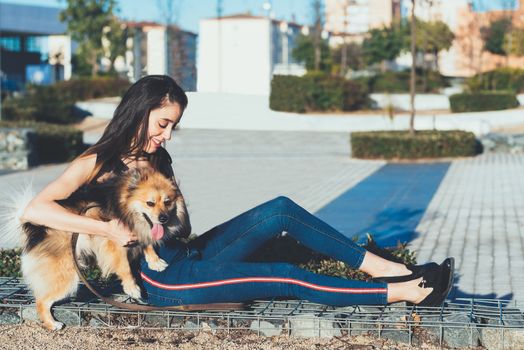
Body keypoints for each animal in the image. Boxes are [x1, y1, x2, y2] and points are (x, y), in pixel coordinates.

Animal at [22, 168, 192, 330]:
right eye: (150, 203)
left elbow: (147, 242)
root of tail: (35, 230)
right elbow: (124, 266)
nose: (164, 218)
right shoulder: (115, 241)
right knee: (41, 301)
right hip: (66, 275)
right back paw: (52, 324)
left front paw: (155, 262)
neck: (124, 204)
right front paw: (132, 287)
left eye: (167, 202)